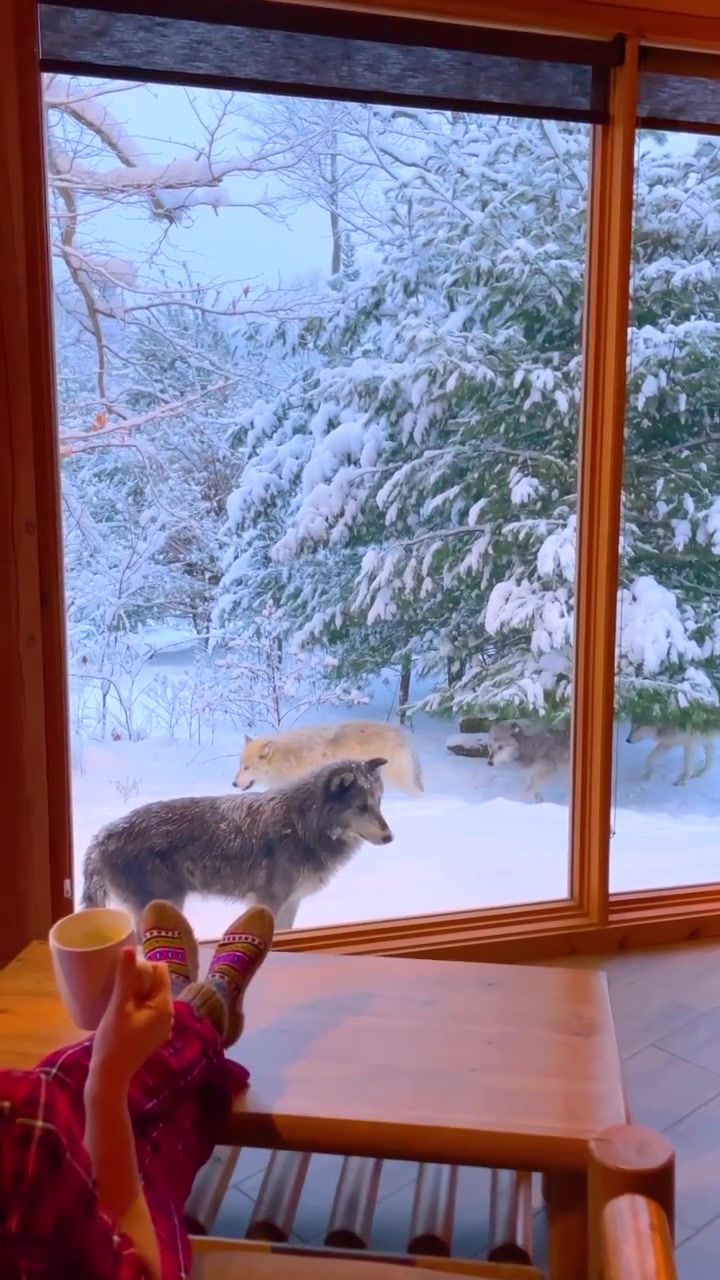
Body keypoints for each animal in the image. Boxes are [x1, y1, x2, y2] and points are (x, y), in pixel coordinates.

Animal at [82, 758, 393, 931]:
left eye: (379, 803)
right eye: (361, 807)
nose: (390, 837)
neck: (302, 824)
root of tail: (103, 834)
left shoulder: (291, 902)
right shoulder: (269, 901)